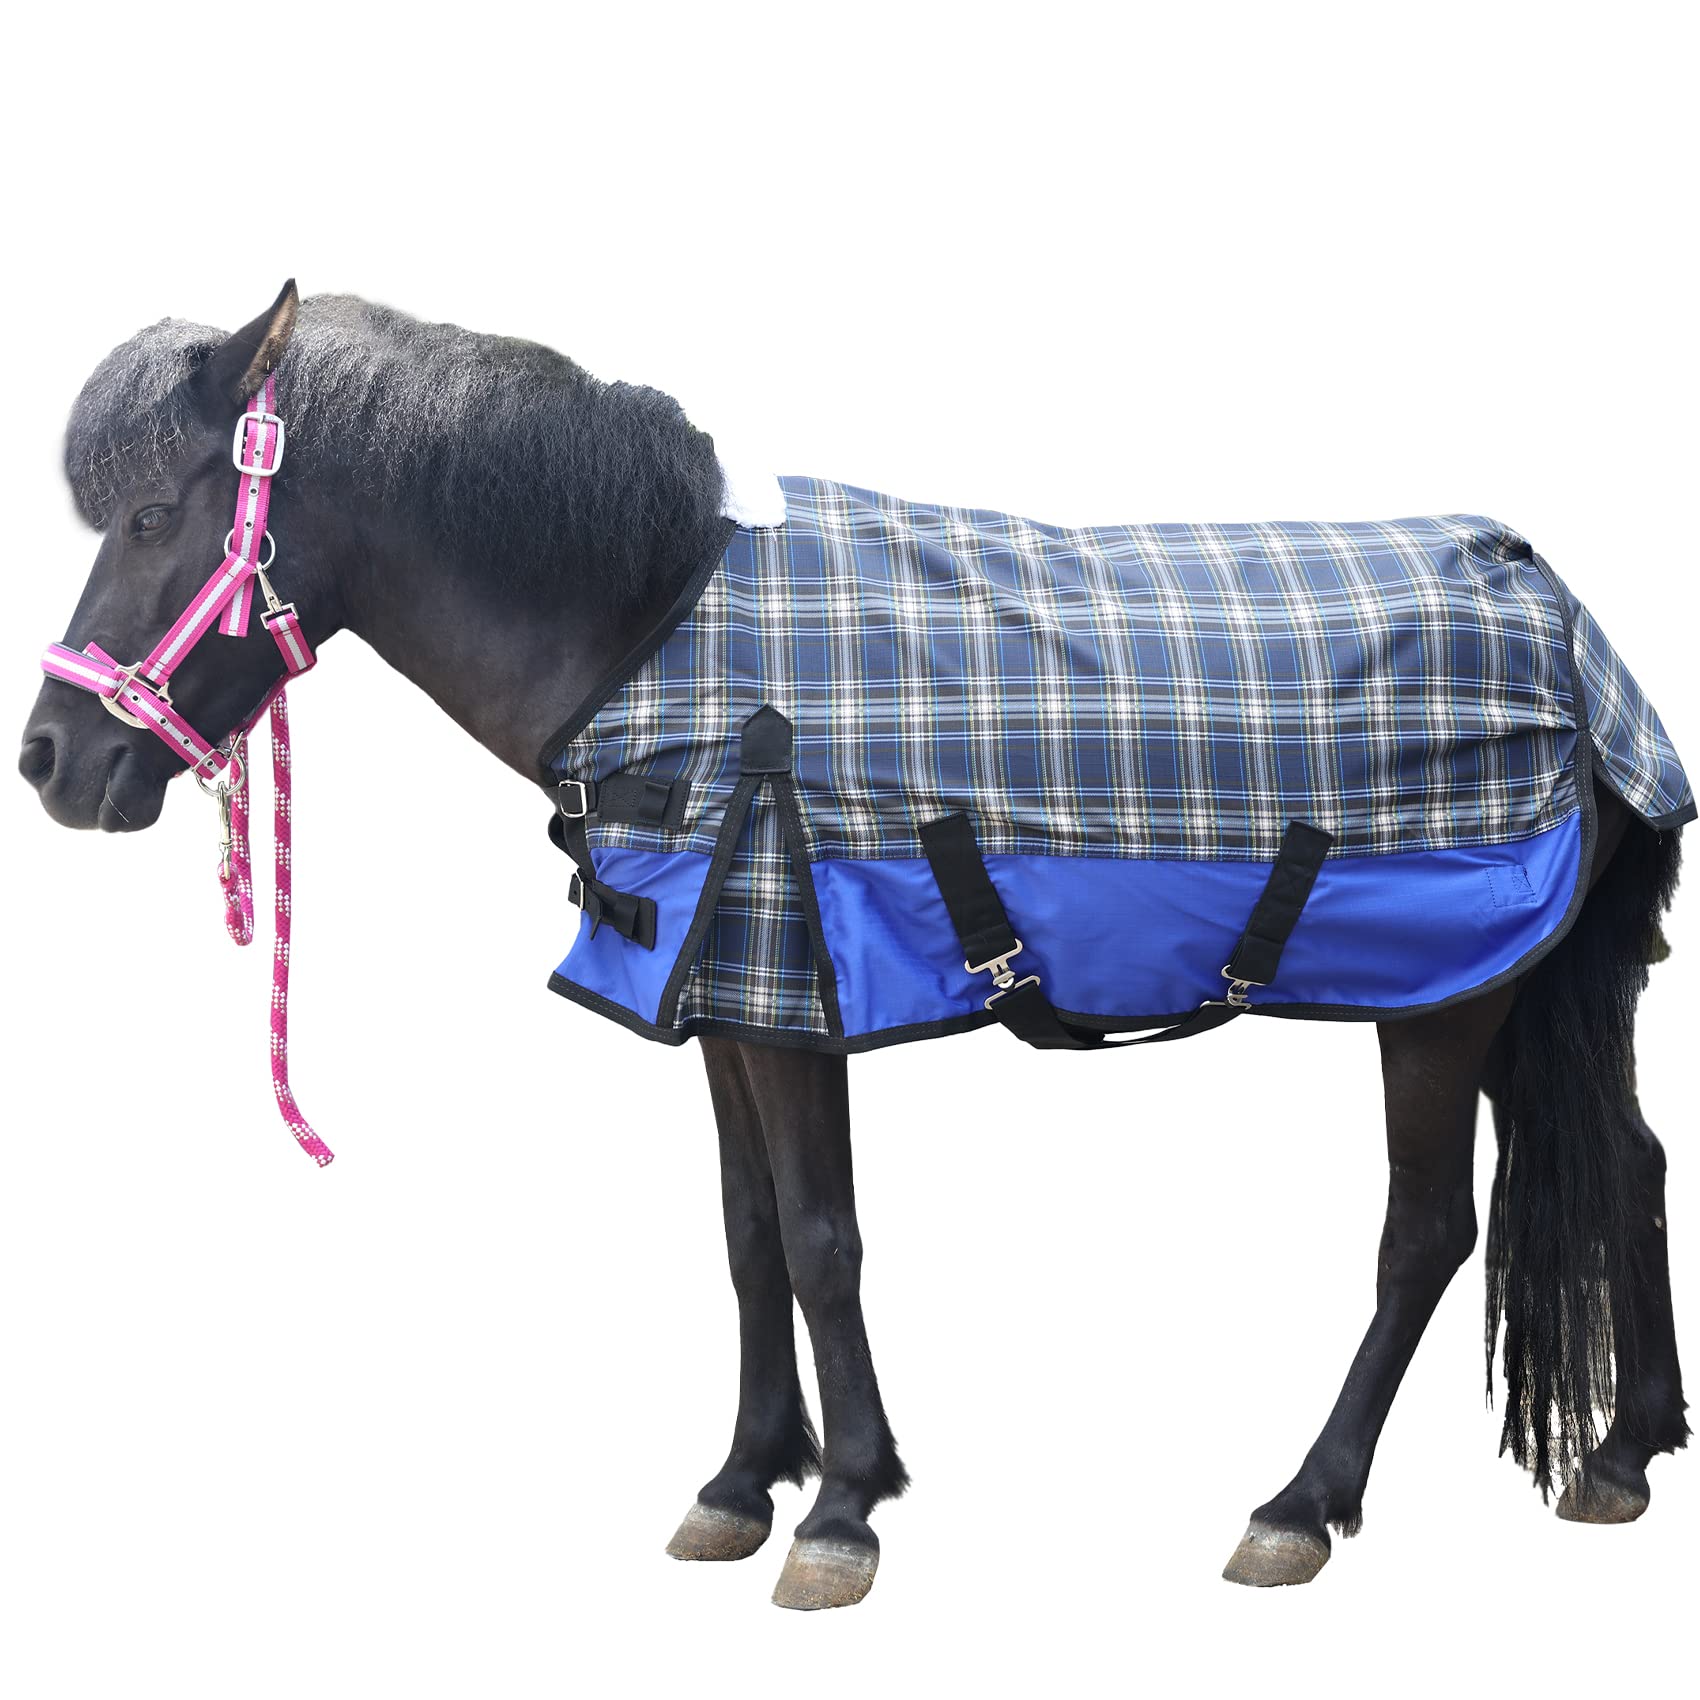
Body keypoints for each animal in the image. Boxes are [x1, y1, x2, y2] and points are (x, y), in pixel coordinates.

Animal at [19, 282, 1690, 1609]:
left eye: (156, 518)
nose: (48, 761)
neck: (650, 630)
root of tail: (1556, 604)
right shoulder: (718, 998)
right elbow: (750, 1236)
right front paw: (741, 1483)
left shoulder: (791, 986)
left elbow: (824, 1242)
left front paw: (840, 1512)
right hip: (1527, 988)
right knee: (1629, 1163)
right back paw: (1625, 1455)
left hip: (1444, 1003)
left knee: (1426, 1234)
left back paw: (1301, 1503)